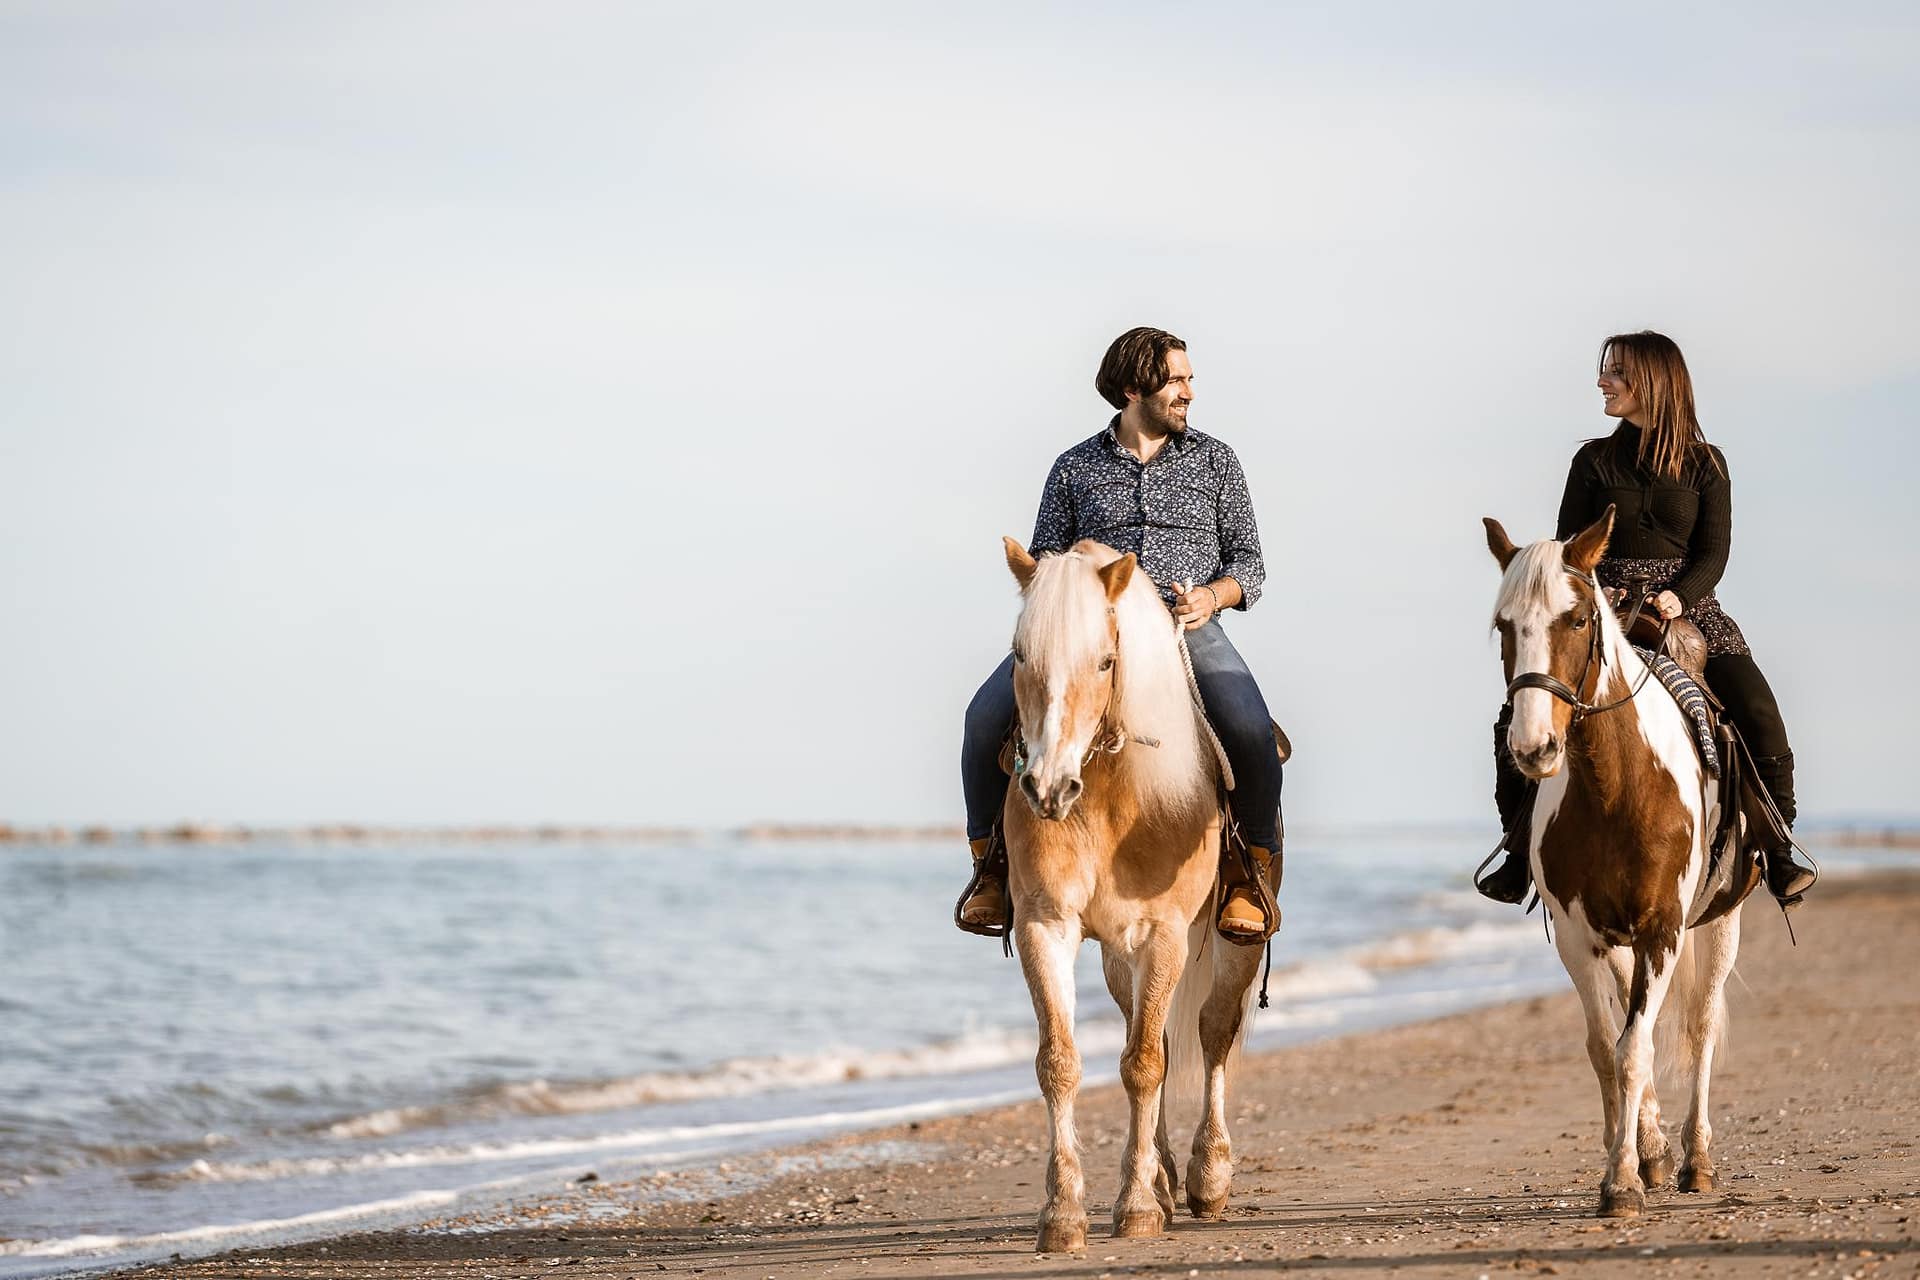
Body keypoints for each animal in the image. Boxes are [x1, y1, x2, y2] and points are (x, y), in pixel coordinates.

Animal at [999, 536, 1264, 1253]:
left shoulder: (1163, 933)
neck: (1109, 796)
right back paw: (1168, 1179)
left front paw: (1139, 1208)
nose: (1048, 788)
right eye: (1020, 655)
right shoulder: (1046, 926)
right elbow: (1062, 1062)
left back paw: (1206, 1177)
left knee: (1213, 1030)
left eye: (1105, 661)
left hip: (1233, 941)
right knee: (1161, 1040)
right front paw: (1064, 1214)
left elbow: (1144, 1064)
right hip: (1118, 957)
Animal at [1484, 506, 1760, 1218]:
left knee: (1699, 1029)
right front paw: (1629, 1161)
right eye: (1504, 625)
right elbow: (1606, 1050)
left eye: (1578, 619)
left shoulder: (1663, 929)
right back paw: (1657, 1147)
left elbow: (1636, 1047)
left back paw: (1696, 1160)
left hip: (1720, 923)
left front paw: (1625, 1182)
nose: (1533, 747)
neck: (1616, 786)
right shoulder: (1579, 937)